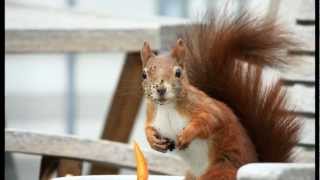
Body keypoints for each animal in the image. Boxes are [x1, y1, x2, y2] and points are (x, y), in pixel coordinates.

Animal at [139, 10, 300, 180]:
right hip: (191, 175)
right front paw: (152, 141)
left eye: (178, 73)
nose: (160, 89)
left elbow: (210, 119)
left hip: (221, 171)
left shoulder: (206, 106)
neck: (167, 108)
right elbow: (148, 128)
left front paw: (187, 134)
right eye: (144, 74)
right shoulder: (152, 116)